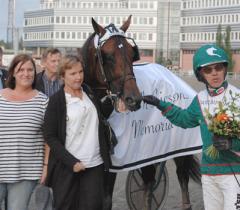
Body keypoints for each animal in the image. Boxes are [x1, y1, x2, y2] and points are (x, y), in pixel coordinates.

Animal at [80, 15, 201, 210]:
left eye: (132, 54)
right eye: (107, 55)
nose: (134, 99)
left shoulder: (113, 163)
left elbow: (106, 200)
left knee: (180, 176)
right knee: (149, 180)